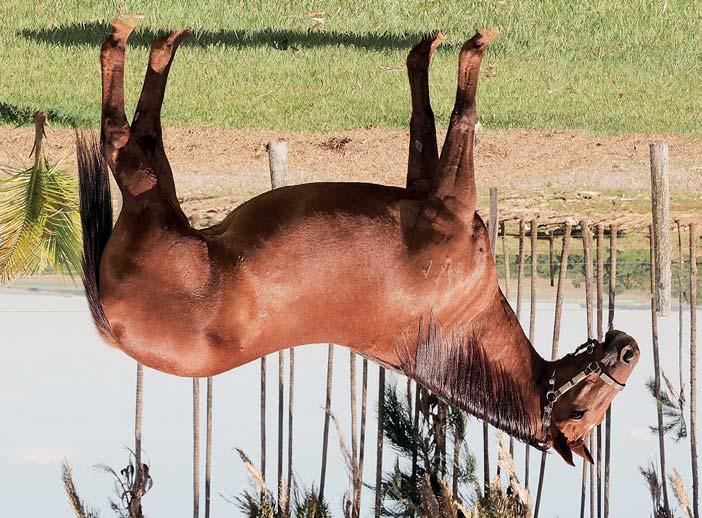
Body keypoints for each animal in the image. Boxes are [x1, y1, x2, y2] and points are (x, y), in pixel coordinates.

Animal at [78, 21, 644, 468]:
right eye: (584, 408)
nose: (629, 350)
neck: (458, 317)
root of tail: (112, 325)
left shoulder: (444, 201)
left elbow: (450, 117)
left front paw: (459, 49)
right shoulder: (436, 194)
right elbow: (435, 119)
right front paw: (438, 50)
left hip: (153, 195)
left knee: (124, 136)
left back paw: (142, 42)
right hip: (157, 195)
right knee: (129, 131)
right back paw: (155, 41)